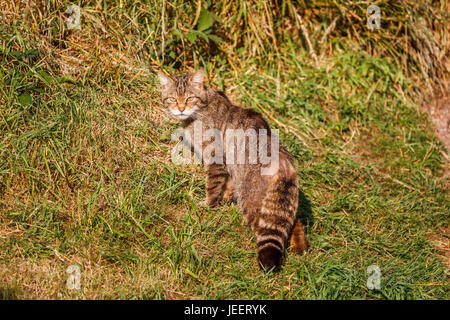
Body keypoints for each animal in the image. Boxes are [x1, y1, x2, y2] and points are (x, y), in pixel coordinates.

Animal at [156, 69, 308, 270]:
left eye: (190, 98)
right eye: (172, 99)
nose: (181, 108)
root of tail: (286, 166)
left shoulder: (216, 159)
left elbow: (212, 187)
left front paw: (208, 205)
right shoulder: (228, 167)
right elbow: (226, 184)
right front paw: (225, 197)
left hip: (252, 202)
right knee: (294, 222)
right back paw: (299, 249)